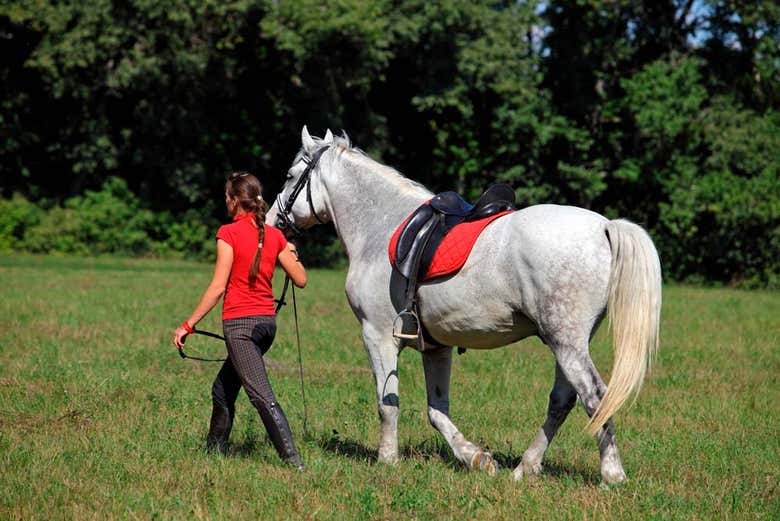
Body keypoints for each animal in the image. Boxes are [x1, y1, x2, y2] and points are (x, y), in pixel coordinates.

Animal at [266, 127, 660, 484]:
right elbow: (436, 410)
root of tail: (605, 227)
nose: (272, 221)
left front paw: (387, 460)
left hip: (566, 342)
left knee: (595, 396)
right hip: (569, 344)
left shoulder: (377, 337)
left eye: (289, 176)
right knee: (563, 401)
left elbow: (387, 404)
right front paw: (476, 458)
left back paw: (611, 474)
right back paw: (525, 468)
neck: (380, 227)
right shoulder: (435, 347)